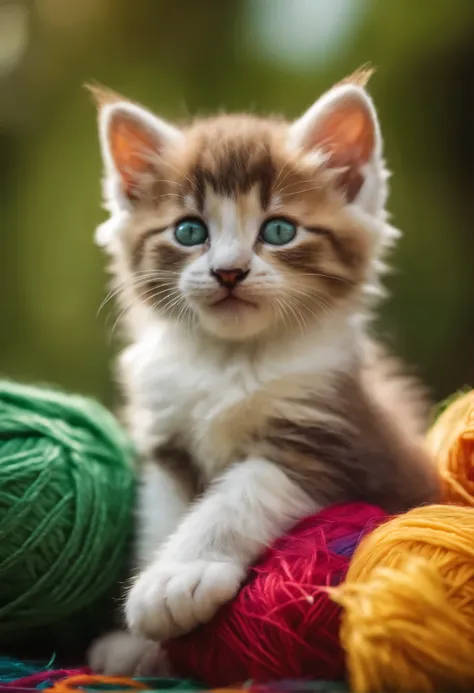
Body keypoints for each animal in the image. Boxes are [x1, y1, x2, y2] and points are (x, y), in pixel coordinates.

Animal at [88, 67, 436, 672]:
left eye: (278, 231)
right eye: (189, 231)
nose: (228, 272)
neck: (232, 360)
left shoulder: (326, 436)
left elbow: (237, 497)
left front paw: (178, 578)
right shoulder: (167, 445)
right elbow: (162, 517)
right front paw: (144, 641)